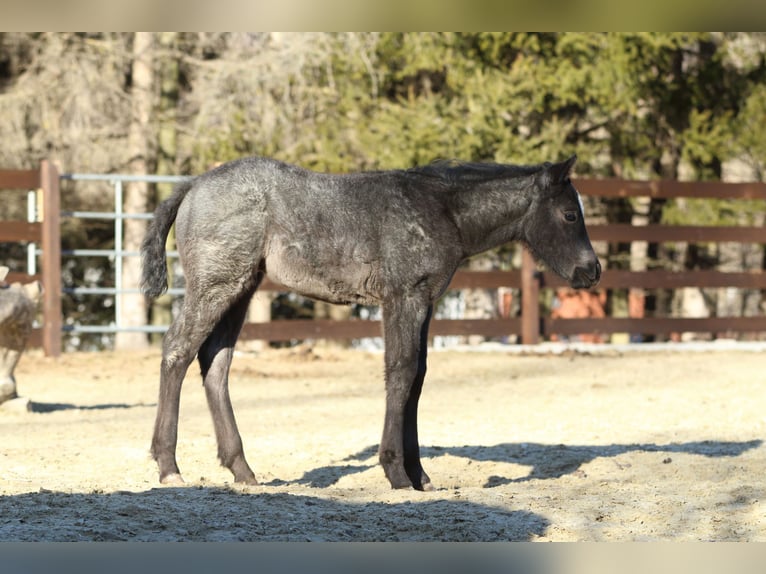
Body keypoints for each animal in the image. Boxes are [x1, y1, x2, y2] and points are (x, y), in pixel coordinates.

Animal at [142, 155, 600, 492]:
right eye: (569, 215)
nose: (591, 271)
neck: (441, 208)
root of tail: (193, 185)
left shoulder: (425, 302)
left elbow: (417, 377)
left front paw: (420, 475)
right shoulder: (403, 298)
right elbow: (401, 372)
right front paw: (397, 472)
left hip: (241, 288)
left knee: (214, 363)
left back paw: (242, 468)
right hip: (216, 285)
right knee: (177, 350)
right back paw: (169, 467)